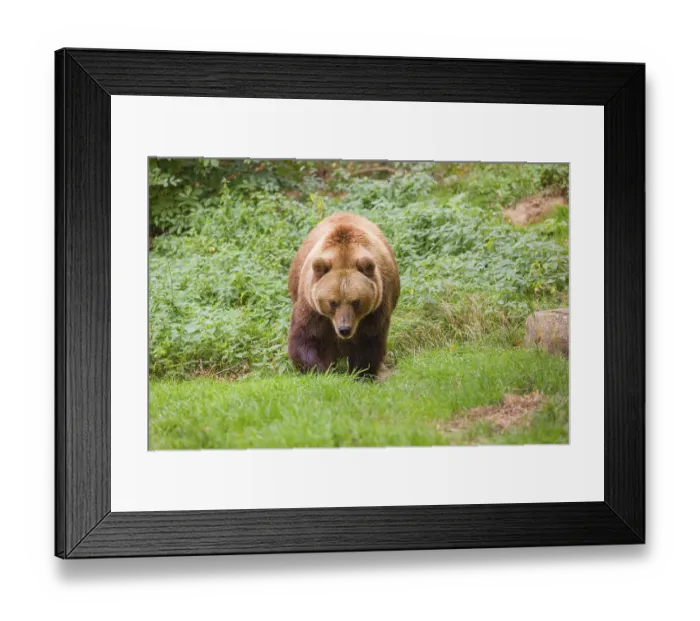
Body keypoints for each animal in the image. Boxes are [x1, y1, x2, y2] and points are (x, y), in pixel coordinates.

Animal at [287, 212, 400, 378]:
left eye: (356, 302)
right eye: (333, 302)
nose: (344, 329)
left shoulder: (377, 304)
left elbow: (369, 340)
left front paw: (361, 372)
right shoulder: (311, 305)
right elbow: (309, 337)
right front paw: (320, 369)